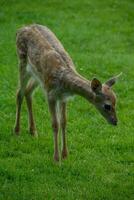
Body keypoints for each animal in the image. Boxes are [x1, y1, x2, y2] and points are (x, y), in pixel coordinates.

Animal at [13, 24, 121, 162]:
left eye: (116, 102)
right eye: (107, 105)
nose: (115, 121)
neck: (64, 82)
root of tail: (20, 29)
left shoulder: (63, 97)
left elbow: (64, 122)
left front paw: (65, 155)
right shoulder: (51, 94)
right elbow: (55, 124)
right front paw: (56, 158)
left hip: (38, 76)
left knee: (28, 92)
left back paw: (33, 131)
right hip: (22, 62)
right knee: (19, 93)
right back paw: (16, 130)